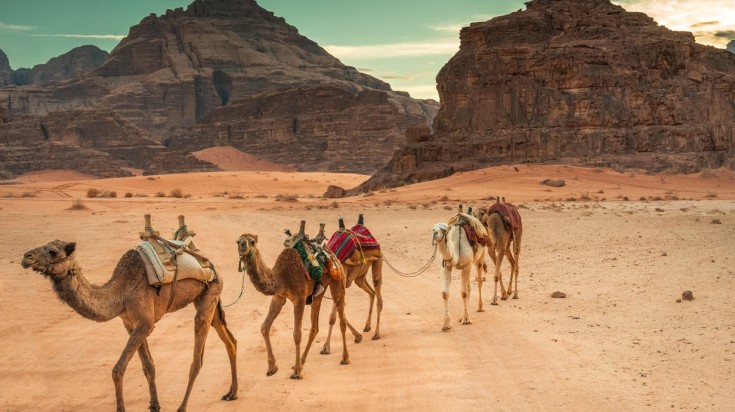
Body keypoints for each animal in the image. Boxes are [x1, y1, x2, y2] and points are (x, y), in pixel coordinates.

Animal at [19, 238, 239, 412]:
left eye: (53, 251)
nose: (26, 257)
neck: (120, 292)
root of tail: (210, 264)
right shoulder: (130, 323)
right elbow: (148, 366)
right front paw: (154, 405)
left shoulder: (145, 323)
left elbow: (118, 369)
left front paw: (123, 408)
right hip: (206, 296)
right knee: (230, 340)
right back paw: (232, 393)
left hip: (211, 291)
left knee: (197, 355)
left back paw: (182, 407)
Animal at [236, 222, 350, 380]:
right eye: (237, 241)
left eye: (252, 242)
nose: (242, 246)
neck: (281, 276)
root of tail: (331, 254)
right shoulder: (279, 297)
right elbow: (264, 327)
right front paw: (272, 367)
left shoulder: (300, 298)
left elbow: (297, 334)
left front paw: (297, 373)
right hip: (319, 291)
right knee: (314, 326)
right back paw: (300, 363)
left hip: (337, 281)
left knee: (341, 319)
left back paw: (345, 358)